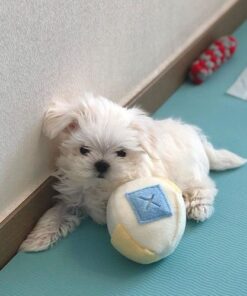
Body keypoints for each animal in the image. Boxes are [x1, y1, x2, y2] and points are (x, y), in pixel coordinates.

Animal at [20, 93, 246, 251]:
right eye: (83, 150)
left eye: (122, 153)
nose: (101, 164)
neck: (99, 186)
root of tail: (198, 139)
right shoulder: (74, 195)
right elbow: (56, 212)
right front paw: (36, 238)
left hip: (189, 173)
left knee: (205, 186)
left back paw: (199, 208)